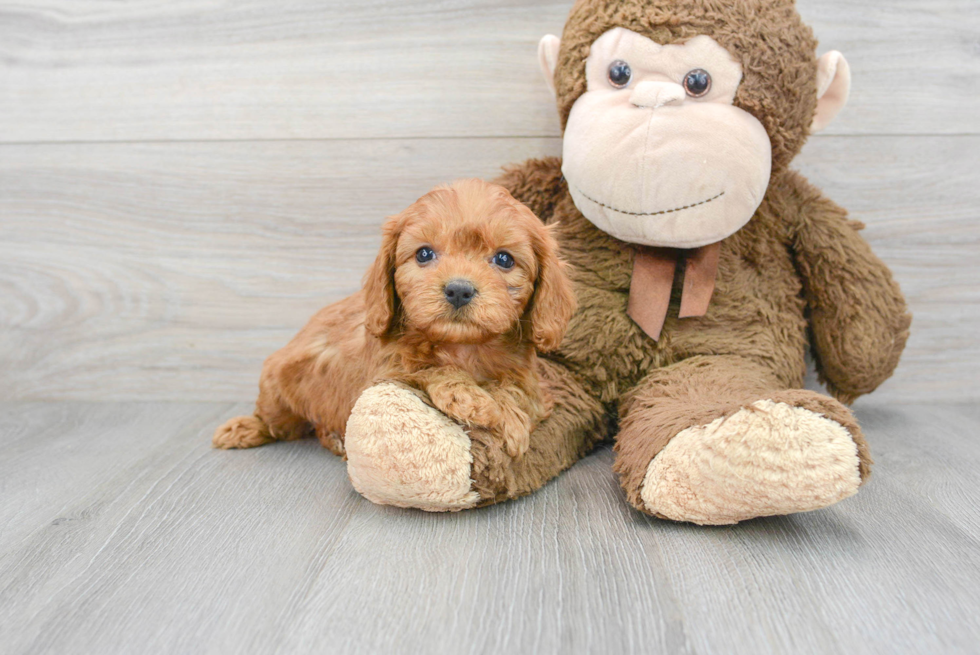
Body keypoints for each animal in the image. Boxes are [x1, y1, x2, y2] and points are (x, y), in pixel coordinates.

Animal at [216, 177, 576, 458]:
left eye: (504, 259)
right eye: (424, 254)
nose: (459, 290)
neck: (463, 346)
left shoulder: (531, 382)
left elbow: (516, 389)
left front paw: (509, 419)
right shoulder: (384, 372)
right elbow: (425, 368)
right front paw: (469, 396)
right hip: (277, 387)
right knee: (277, 421)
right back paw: (245, 427)